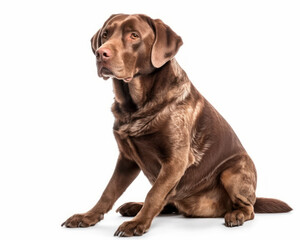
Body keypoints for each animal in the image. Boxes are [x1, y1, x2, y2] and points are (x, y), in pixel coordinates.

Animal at [62, 14, 292, 236]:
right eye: (105, 35)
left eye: (134, 35)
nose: (101, 54)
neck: (135, 106)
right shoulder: (126, 159)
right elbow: (109, 192)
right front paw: (87, 217)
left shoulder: (176, 160)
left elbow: (154, 194)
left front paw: (137, 224)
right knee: (169, 202)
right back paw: (134, 206)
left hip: (234, 170)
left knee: (248, 207)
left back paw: (236, 214)